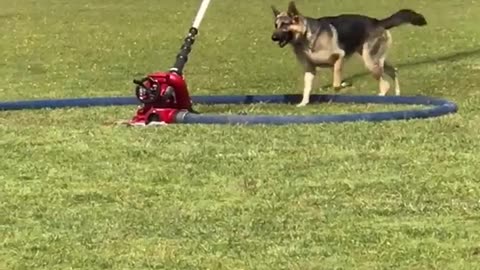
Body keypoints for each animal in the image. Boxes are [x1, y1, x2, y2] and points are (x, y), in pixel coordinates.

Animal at [270, 1, 428, 106]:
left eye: (285, 25)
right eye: (276, 25)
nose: (273, 37)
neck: (306, 36)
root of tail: (378, 22)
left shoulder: (340, 56)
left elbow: (336, 83)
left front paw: (344, 84)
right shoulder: (309, 69)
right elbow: (307, 88)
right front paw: (303, 103)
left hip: (370, 61)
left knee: (385, 84)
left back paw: (380, 97)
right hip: (375, 59)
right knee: (393, 71)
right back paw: (397, 94)